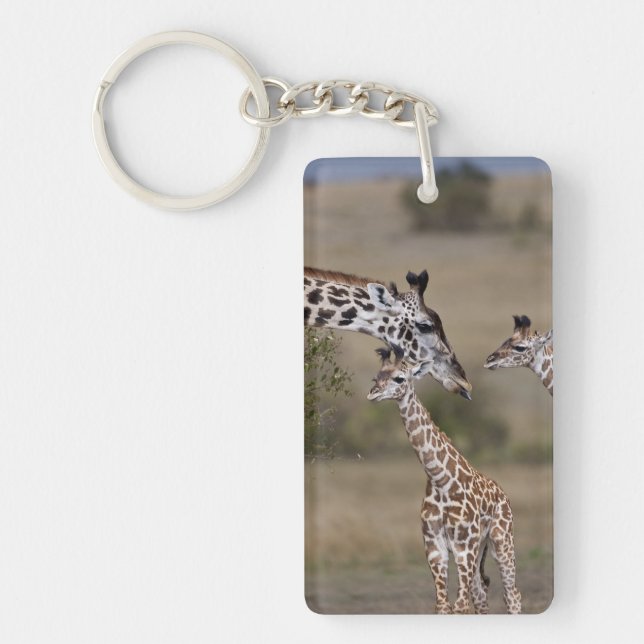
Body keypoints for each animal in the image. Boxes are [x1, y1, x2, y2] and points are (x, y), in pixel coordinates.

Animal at [367, 345, 522, 615]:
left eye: (399, 378)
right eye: (377, 377)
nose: (372, 394)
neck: (440, 480)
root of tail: (503, 493)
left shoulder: (464, 547)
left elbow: (459, 606)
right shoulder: (434, 547)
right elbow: (443, 605)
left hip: (501, 540)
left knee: (512, 595)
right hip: (481, 548)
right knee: (481, 594)